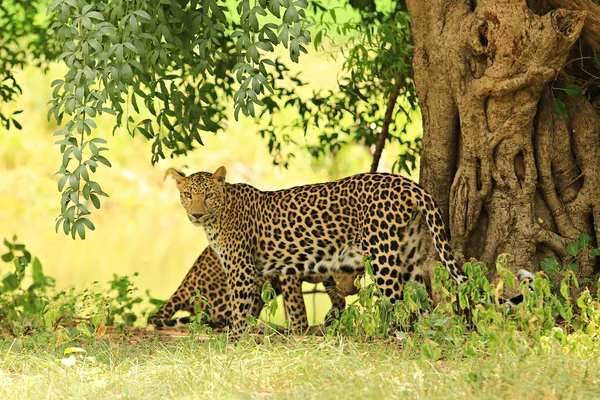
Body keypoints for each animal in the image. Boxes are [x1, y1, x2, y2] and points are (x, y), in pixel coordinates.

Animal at [147, 247, 358, 332]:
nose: (354, 291)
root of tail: (186, 283)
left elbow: (337, 298)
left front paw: (332, 317)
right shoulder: (290, 275)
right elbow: (296, 304)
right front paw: (300, 329)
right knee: (223, 320)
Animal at [170, 166, 528, 338]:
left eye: (208, 196)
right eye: (187, 195)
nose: (196, 214)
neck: (217, 218)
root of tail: (408, 183)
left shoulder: (242, 271)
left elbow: (240, 310)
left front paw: (234, 342)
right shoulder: (255, 273)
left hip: (382, 256)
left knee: (395, 301)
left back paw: (389, 338)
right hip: (409, 255)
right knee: (417, 300)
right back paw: (418, 333)